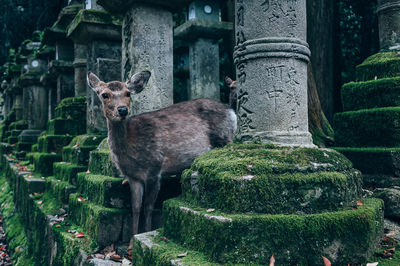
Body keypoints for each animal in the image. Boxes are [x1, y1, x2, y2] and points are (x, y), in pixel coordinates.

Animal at [87, 70, 238, 241]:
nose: (122, 110)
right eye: (104, 94)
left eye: (128, 93)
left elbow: (148, 207)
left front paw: (142, 234)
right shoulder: (132, 177)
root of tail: (232, 112)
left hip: (224, 139)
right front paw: (131, 240)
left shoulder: (155, 167)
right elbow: (136, 207)